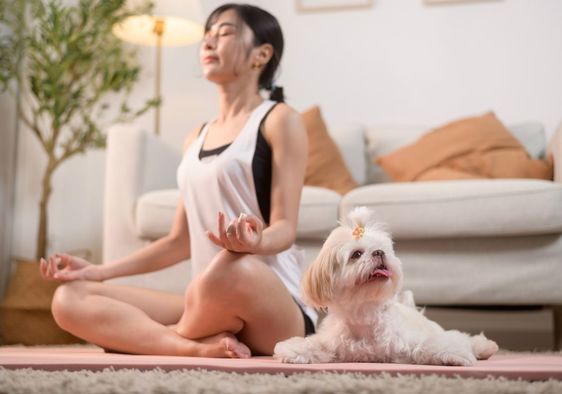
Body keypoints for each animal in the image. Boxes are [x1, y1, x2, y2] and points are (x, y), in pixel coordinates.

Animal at [274, 208, 496, 364]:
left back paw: (484, 347)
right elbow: (312, 345)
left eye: (385, 249)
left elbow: (431, 344)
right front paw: (293, 350)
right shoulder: (332, 343)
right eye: (356, 254)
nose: (379, 253)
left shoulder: (409, 339)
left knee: (463, 337)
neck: (365, 312)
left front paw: (454, 355)